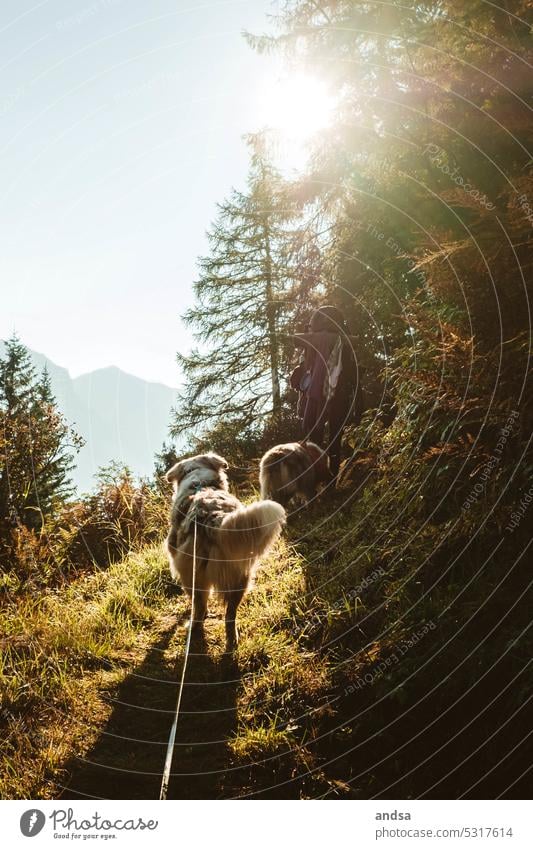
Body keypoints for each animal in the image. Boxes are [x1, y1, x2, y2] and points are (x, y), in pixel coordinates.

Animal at [164, 450, 284, 648]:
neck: (200, 483)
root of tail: (212, 517)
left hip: (192, 576)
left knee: (199, 605)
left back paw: (194, 627)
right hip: (240, 576)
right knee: (230, 614)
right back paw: (232, 639)